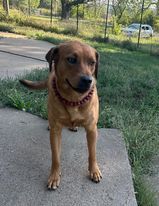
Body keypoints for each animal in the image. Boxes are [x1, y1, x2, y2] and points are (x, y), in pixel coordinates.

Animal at [19, 40, 102, 190]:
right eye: (71, 59)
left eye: (92, 62)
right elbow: (56, 157)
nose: (88, 80)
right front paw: (54, 176)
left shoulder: (92, 129)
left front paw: (94, 170)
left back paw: (74, 126)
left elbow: (92, 153)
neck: (74, 99)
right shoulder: (56, 131)